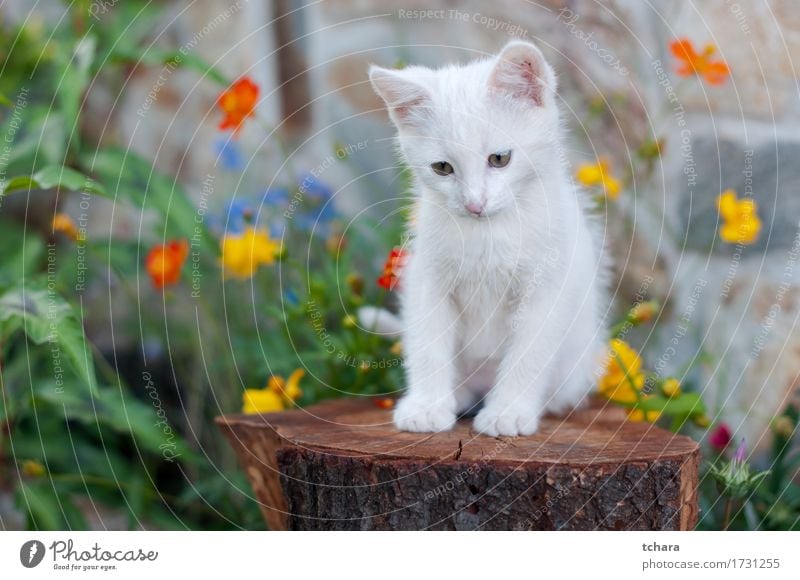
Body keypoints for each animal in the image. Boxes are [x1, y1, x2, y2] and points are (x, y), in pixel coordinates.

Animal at [368, 40, 608, 438]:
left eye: (499, 159)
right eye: (442, 168)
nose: (474, 204)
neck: (487, 233)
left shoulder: (547, 287)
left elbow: (529, 354)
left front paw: (508, 412)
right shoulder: (428, 279)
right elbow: (428, 343)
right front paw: (426, 406)